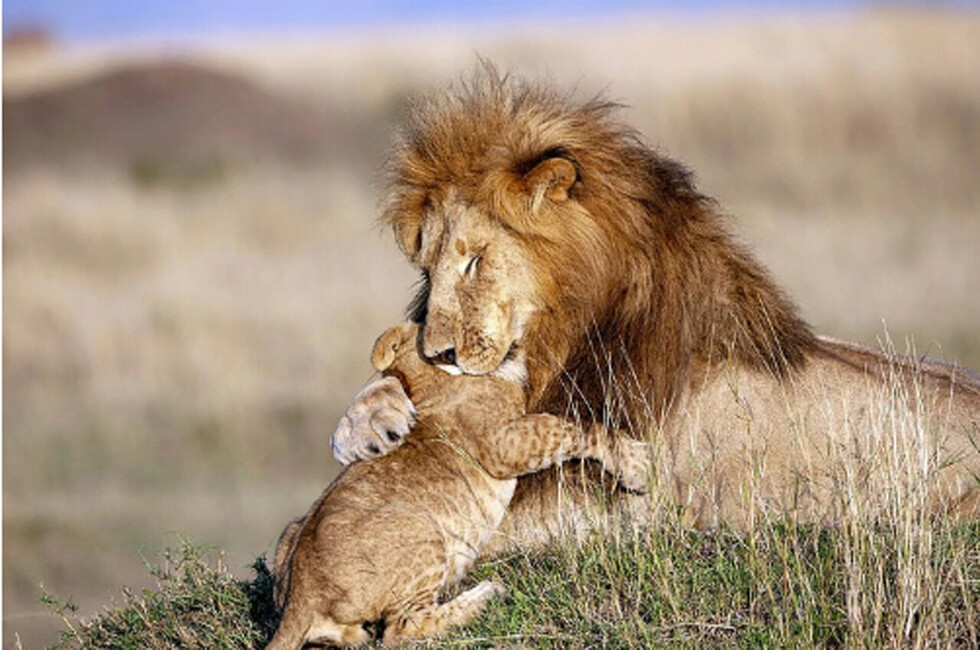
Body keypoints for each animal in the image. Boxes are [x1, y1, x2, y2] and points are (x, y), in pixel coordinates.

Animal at [268, 322, 648, 648]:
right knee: (402, 630)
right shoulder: (505, 443)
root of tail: (302, 596)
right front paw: (635, 465)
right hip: (420, 528)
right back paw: (486, 595)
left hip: (291, 534)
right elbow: (576, 427)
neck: (430, 379)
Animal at [331, 65, 980, 543]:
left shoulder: (617, 505)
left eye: (473, 261)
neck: (570, 332)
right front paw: (366, 424)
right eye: (427, 268)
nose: (439, 352)